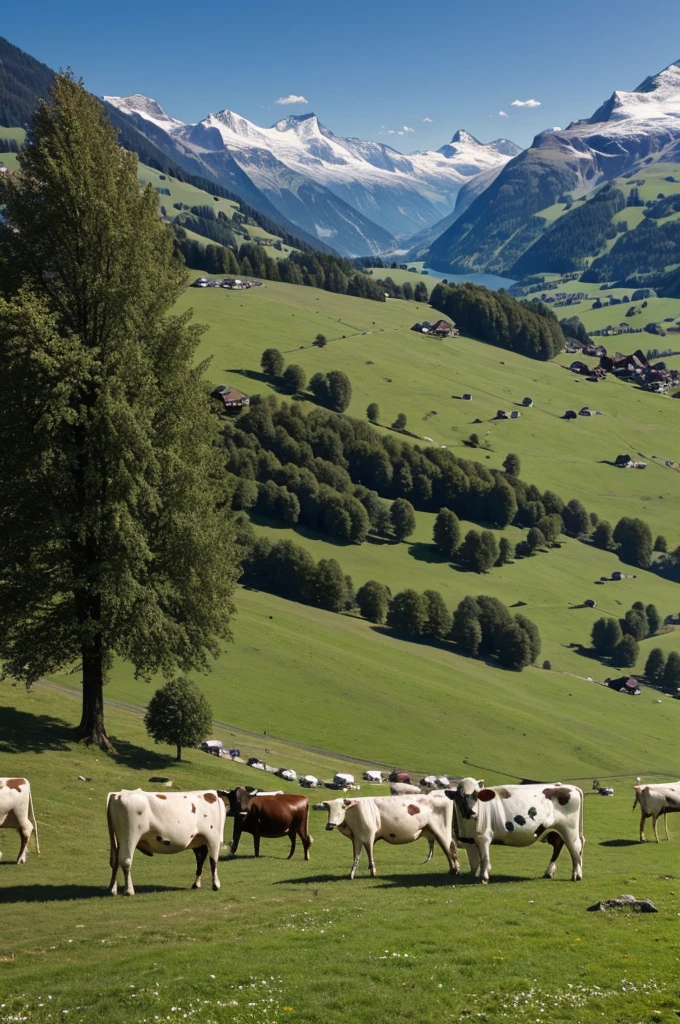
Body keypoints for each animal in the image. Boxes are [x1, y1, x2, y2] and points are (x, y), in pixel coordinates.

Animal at [315, 790, 458, 880]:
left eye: (342, 808)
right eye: (329, 810)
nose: (329, 825)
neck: (353, 814)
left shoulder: (368, 835)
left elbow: (369, 853)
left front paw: (373, 872)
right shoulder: (356, 837)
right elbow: (356, 856)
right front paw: (351, 874)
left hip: (442, 830)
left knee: (450, 847)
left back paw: (456, 870)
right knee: (446, 849)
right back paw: (452, 870)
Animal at [446, 770, 585, 884]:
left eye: (476, 794)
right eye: (460, 796)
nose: (471, 812)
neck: (467, 826)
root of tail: (571, 787)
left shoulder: (484, 836)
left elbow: (484, 858)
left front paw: (484, 877)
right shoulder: (469, 840)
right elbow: (474, 860)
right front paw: (473, 875)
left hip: (569, 829)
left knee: (575, 847)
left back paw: (576, 875)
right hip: (554, 829)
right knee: (558, 843)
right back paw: (549, 872)